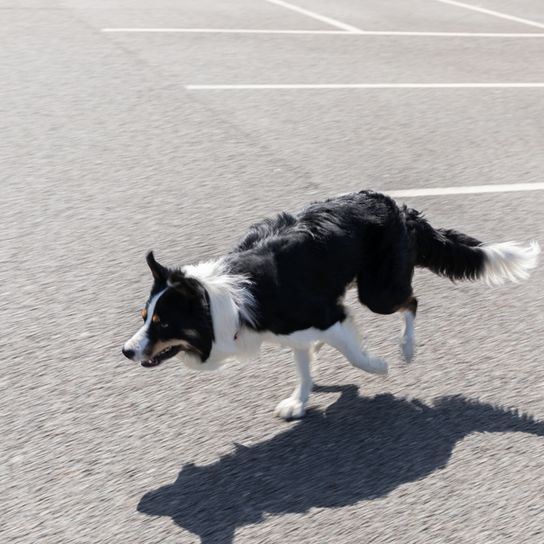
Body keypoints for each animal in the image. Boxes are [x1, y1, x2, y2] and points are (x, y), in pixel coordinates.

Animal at [121, 189, 536, 418]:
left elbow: (353, 354)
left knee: (412, 302)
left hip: (378, 293)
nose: (125, 351)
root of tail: (398, 207)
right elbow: (304, 366)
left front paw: (377, 366)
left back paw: (406, 348)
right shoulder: (297, 327)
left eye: (162, 323)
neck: (223, 300)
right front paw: (299, 402)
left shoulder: (324, 314)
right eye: (144, 317)